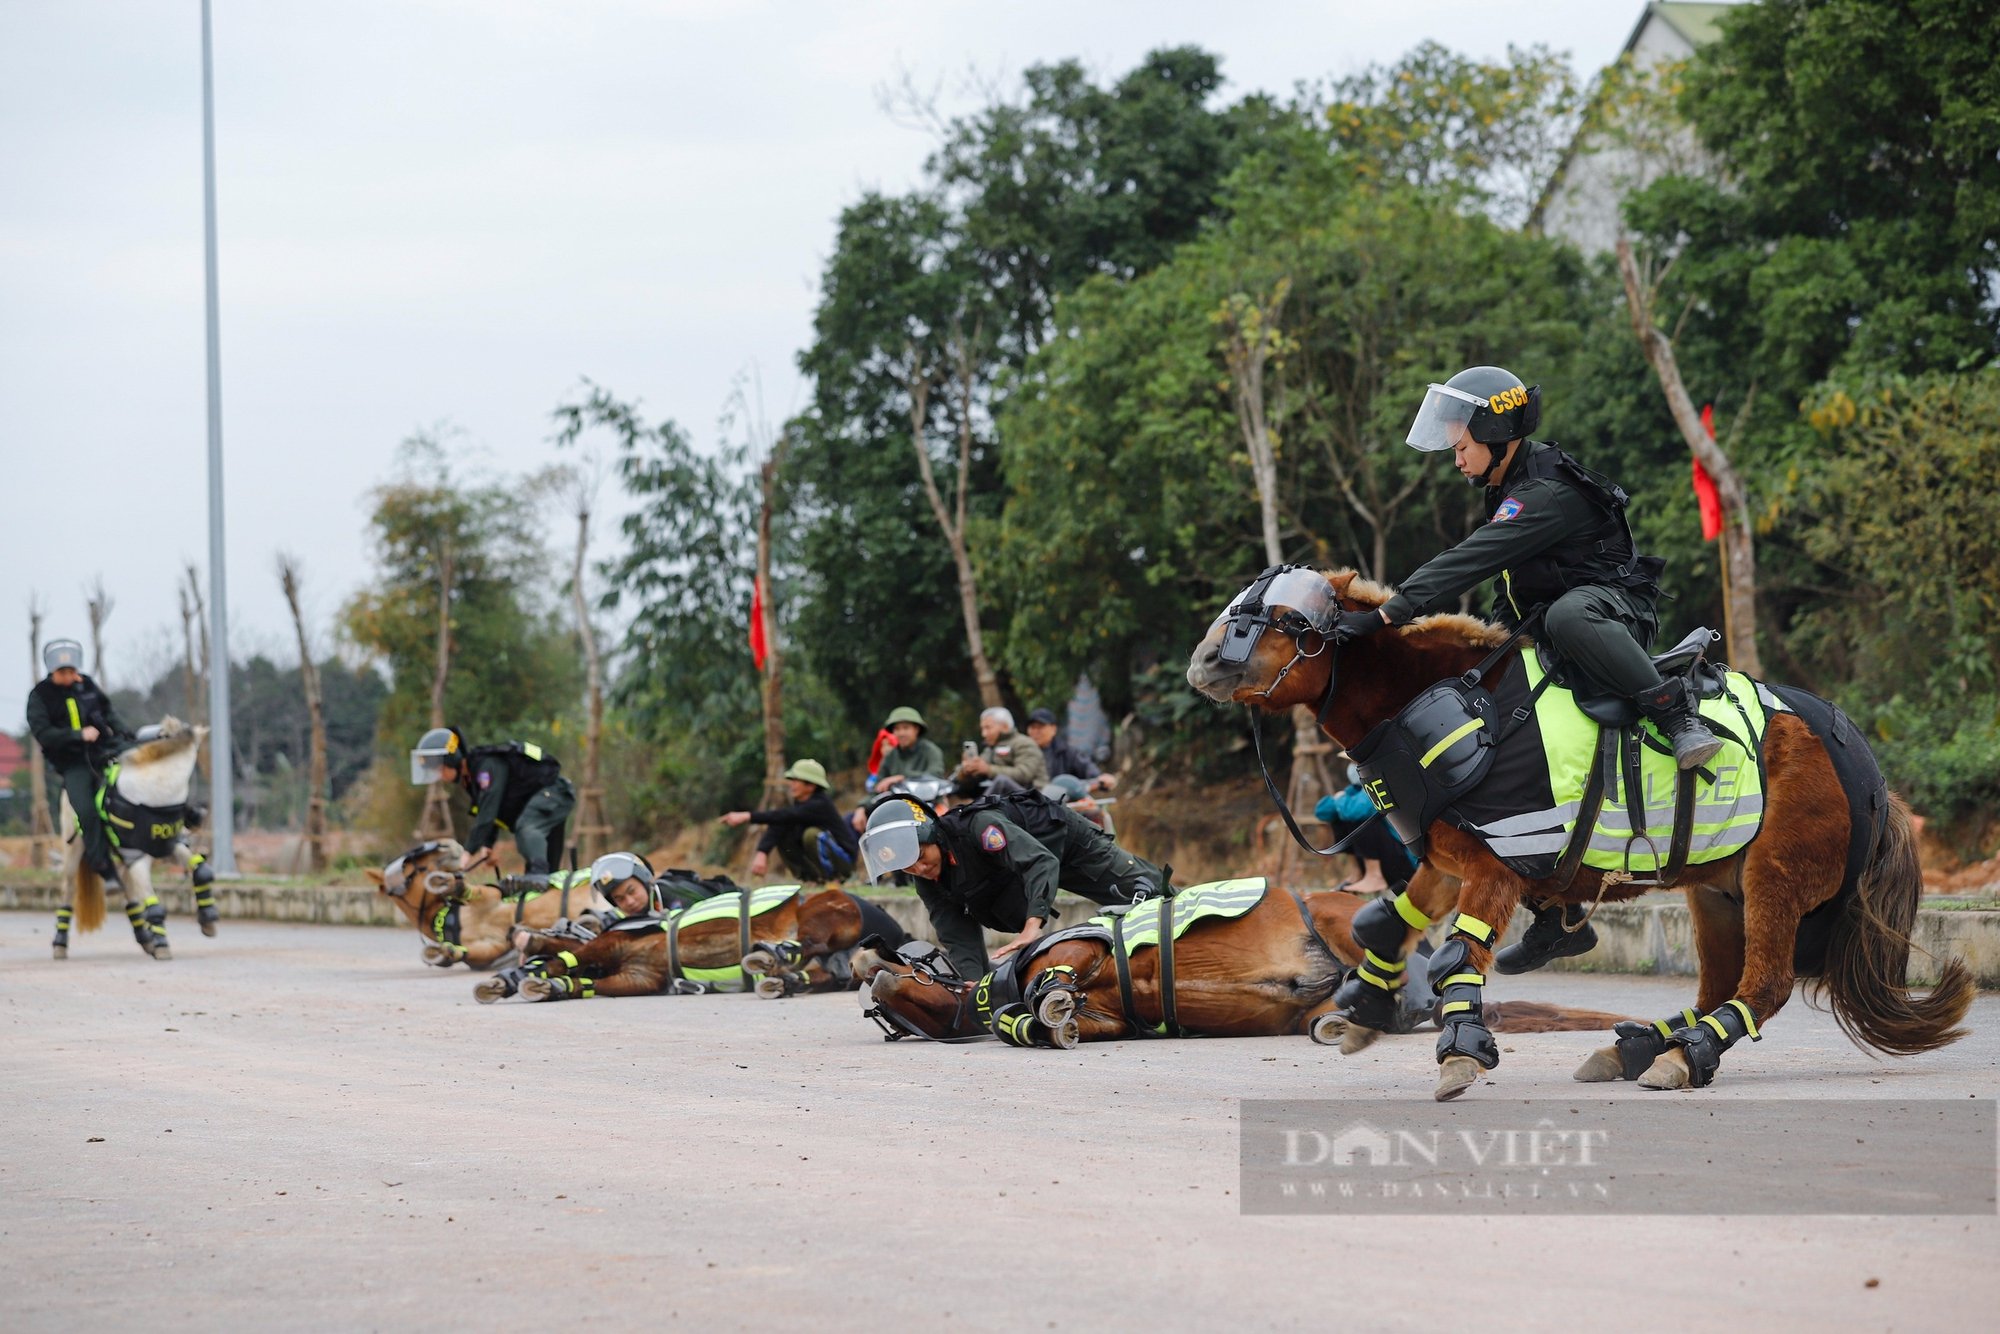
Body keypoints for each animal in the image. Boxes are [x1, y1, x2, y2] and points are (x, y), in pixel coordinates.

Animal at [55, 720, 219, 960]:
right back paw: (60, 942)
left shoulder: (168, 846)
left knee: (128, 888)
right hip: (75, 852)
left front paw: (208, 919)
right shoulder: (137, 856)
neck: (153, 794)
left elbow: (202, 871)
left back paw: (144, 937)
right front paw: (162, 945)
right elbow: (155, 905)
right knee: (68, 888)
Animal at [366, 844, 600, 972]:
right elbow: (469, 953)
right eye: (406, 865)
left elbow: (471, 890)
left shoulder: (492, 898)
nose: (448, 845)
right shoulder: (492, 946)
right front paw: (445, 952)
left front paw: (450, 884)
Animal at [484, 888, 916, 1000]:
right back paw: (782, 979)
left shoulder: (607, 945)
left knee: (805, 942)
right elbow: (591, 983)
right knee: (819, 972)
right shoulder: (639, 977)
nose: (515, 932)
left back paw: (769, 957)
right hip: (834, 959)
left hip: (826, 913)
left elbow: (565, 958)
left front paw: (535, 977)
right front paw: (551, 986)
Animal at [1184, 568, 1968, 1104]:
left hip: (1773, 880)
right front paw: (1368, 1007)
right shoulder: (1445, 861)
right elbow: (1387, 922)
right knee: (1723, 982)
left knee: (1765, 983)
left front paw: (1460, 1049)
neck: (1464, 703)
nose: (1205, 663)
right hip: (1719, 891)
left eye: (1281, 618)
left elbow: (1459, 954)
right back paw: (1650, 1046)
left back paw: (1683, 1055)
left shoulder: (1494, 871)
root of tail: (1866, 767)